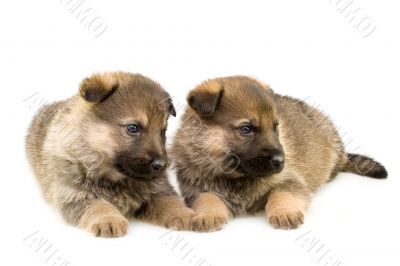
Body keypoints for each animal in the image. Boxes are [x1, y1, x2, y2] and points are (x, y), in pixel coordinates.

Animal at [25, 71, 195, 237]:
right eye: (133, 128)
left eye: (163, 132)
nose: (161, 165)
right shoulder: (75, 195)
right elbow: (98, 205)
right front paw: (108, 220)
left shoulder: (159, 190)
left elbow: (170, 202)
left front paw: (186, 214)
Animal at [170, 76, 386, 232]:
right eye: (246, 129)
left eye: (275, 127)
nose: (281, 161)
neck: (234, 176)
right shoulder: (195, 189)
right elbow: (207, 198)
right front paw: (208, 214)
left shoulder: (290, 180)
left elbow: (282, 194)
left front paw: (285, 213)